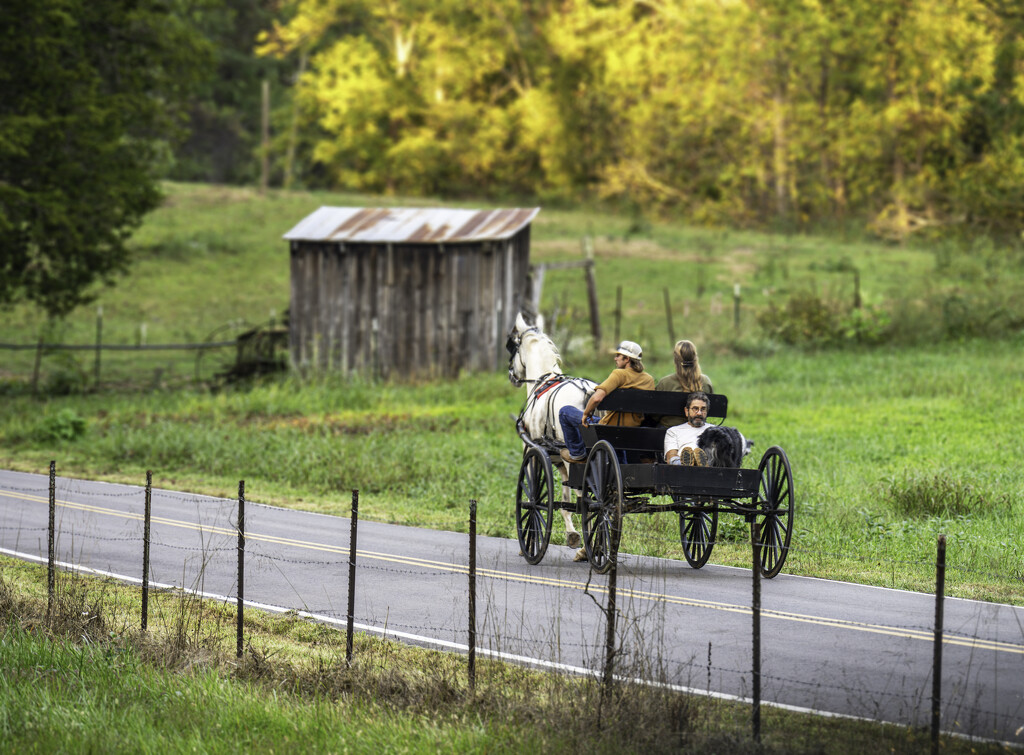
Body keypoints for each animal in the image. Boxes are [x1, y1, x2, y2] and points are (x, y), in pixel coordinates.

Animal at [507, 309, 598, 549]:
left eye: (512, 346)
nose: (511, 375)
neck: (543, 380)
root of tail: (588, 392)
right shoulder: (561, 464)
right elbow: (565, 501)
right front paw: (572, 534)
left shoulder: (532, 451)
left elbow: (535, 492)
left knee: (585, 499)